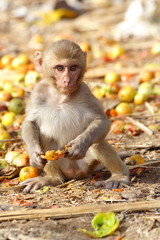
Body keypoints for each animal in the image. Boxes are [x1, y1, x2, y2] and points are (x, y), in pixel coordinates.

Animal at [20, 39, 129, 193]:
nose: (67, 80)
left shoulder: (85, 92)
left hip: (87, 164)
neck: (61, 96)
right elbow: (30, 123)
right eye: (60, 68)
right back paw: (53, 179)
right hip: (62, 165)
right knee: (44, 137)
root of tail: (75, 173)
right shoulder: (37, 93)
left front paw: (79, 144)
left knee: (98, 143)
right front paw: (34, 153)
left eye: (73, 68)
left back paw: (119, 176)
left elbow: (101, 121)